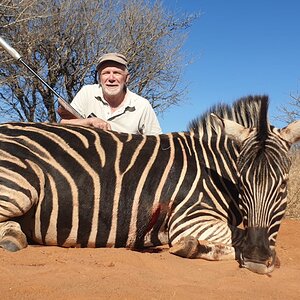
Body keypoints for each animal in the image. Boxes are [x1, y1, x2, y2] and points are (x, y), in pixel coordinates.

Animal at [0, 96, 298, 274]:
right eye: (242, 181)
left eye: (283, 184)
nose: (257, 259)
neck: (213, 170)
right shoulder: (190, 218)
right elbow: (237, 236)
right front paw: (190, 246)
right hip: (21, 186)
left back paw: (13, 237)